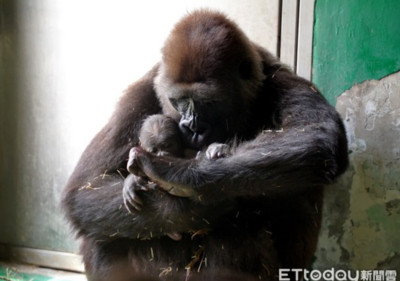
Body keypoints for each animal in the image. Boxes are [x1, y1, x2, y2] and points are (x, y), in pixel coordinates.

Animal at [62, 9, 346, 280]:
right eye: (177, 101)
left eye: (206, 102)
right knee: (101, 230)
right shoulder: (143, 89)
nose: (191, 127)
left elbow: (316, 136)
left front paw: (181, 176)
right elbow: (85, 187)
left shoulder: (279, 77)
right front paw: (183, 209)